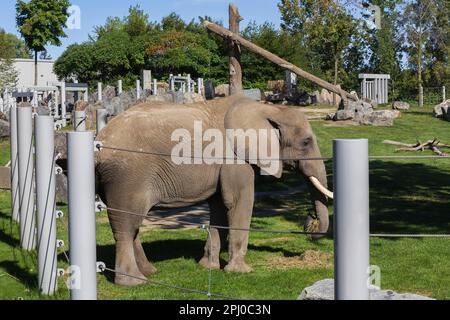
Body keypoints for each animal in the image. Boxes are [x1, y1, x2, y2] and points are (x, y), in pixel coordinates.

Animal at [96, 94, 334, 286]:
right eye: (306, 142)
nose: (310, 222)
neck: (268, 109)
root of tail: (99, 140)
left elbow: (220, 205)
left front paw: (208, 267)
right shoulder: (235, 158)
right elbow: (239, 201)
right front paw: (240, 272)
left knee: (131, 225)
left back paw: (149, 272)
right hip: (127, 176)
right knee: (126, 225)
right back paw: (133, 283)